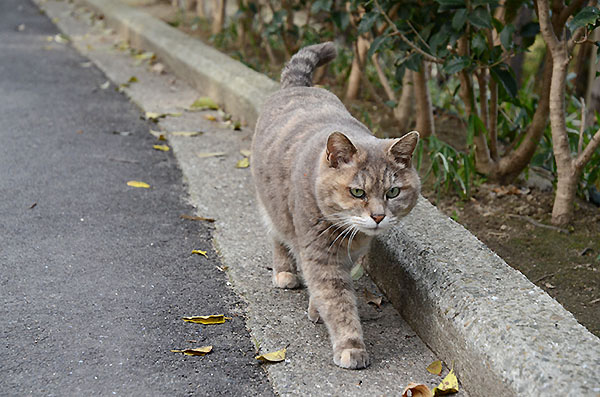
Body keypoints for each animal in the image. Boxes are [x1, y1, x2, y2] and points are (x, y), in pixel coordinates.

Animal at [251, 41, 420, 368]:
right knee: (277, 235)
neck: (347, 235)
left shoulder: (353, 253)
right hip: (271, 205)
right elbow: (337, 300)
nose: (378, 216)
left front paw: (315, 309)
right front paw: (350, 346)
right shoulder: (320, 255)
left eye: (393, 192)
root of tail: (298, 86)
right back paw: (284, 272)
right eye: (357, 192)